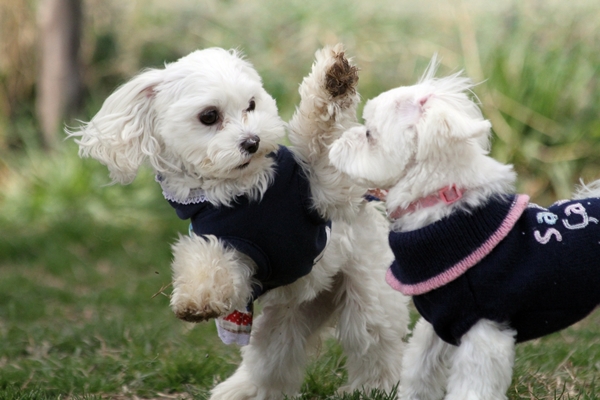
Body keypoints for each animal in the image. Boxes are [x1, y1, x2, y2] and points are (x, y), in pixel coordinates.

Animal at [69, 45, 408, 398]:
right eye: (209, 116)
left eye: (251, 105)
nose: (252, 141)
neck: (245, 191)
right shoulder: (231, 246)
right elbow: (208, 260)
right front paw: (197, 299)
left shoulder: (324, 191)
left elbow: (320, 136)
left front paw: (333, 80)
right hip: (282, 321)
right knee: (273, 363)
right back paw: (244, 389)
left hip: (367, 294)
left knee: (372, 342)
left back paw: (373, 388)